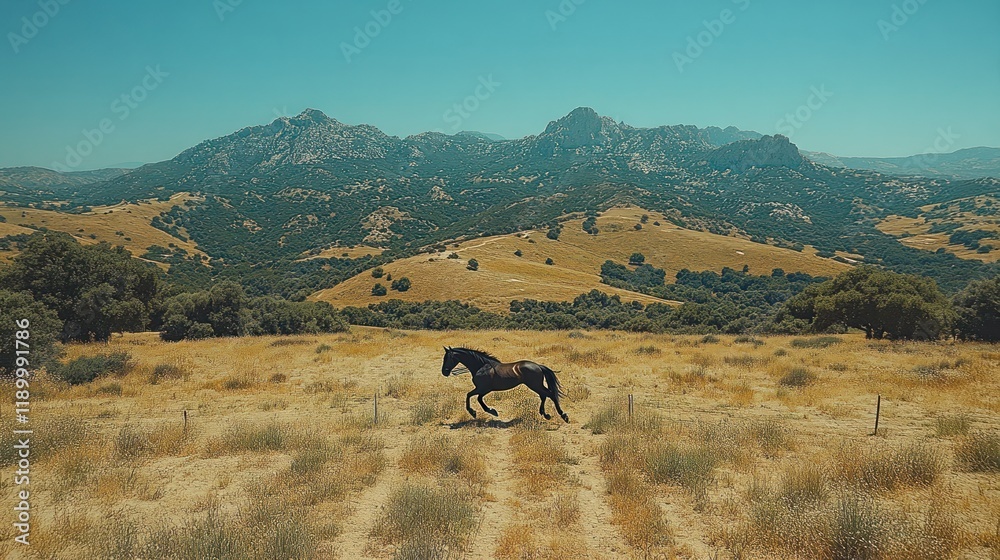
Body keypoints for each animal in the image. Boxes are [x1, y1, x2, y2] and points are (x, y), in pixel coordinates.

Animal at [441, 346, 569, 423]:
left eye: (448, 358)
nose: (444, 372)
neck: (482, 366)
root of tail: (538, 366)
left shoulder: (482, 388)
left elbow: (470, 396)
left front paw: (474, 412)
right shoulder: (483, 389)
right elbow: (478, 398)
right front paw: (491, 411)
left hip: (535, 385)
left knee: (550, 394)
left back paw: (563, 416)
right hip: (536, 385)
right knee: (544, 396)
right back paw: (545, 414)